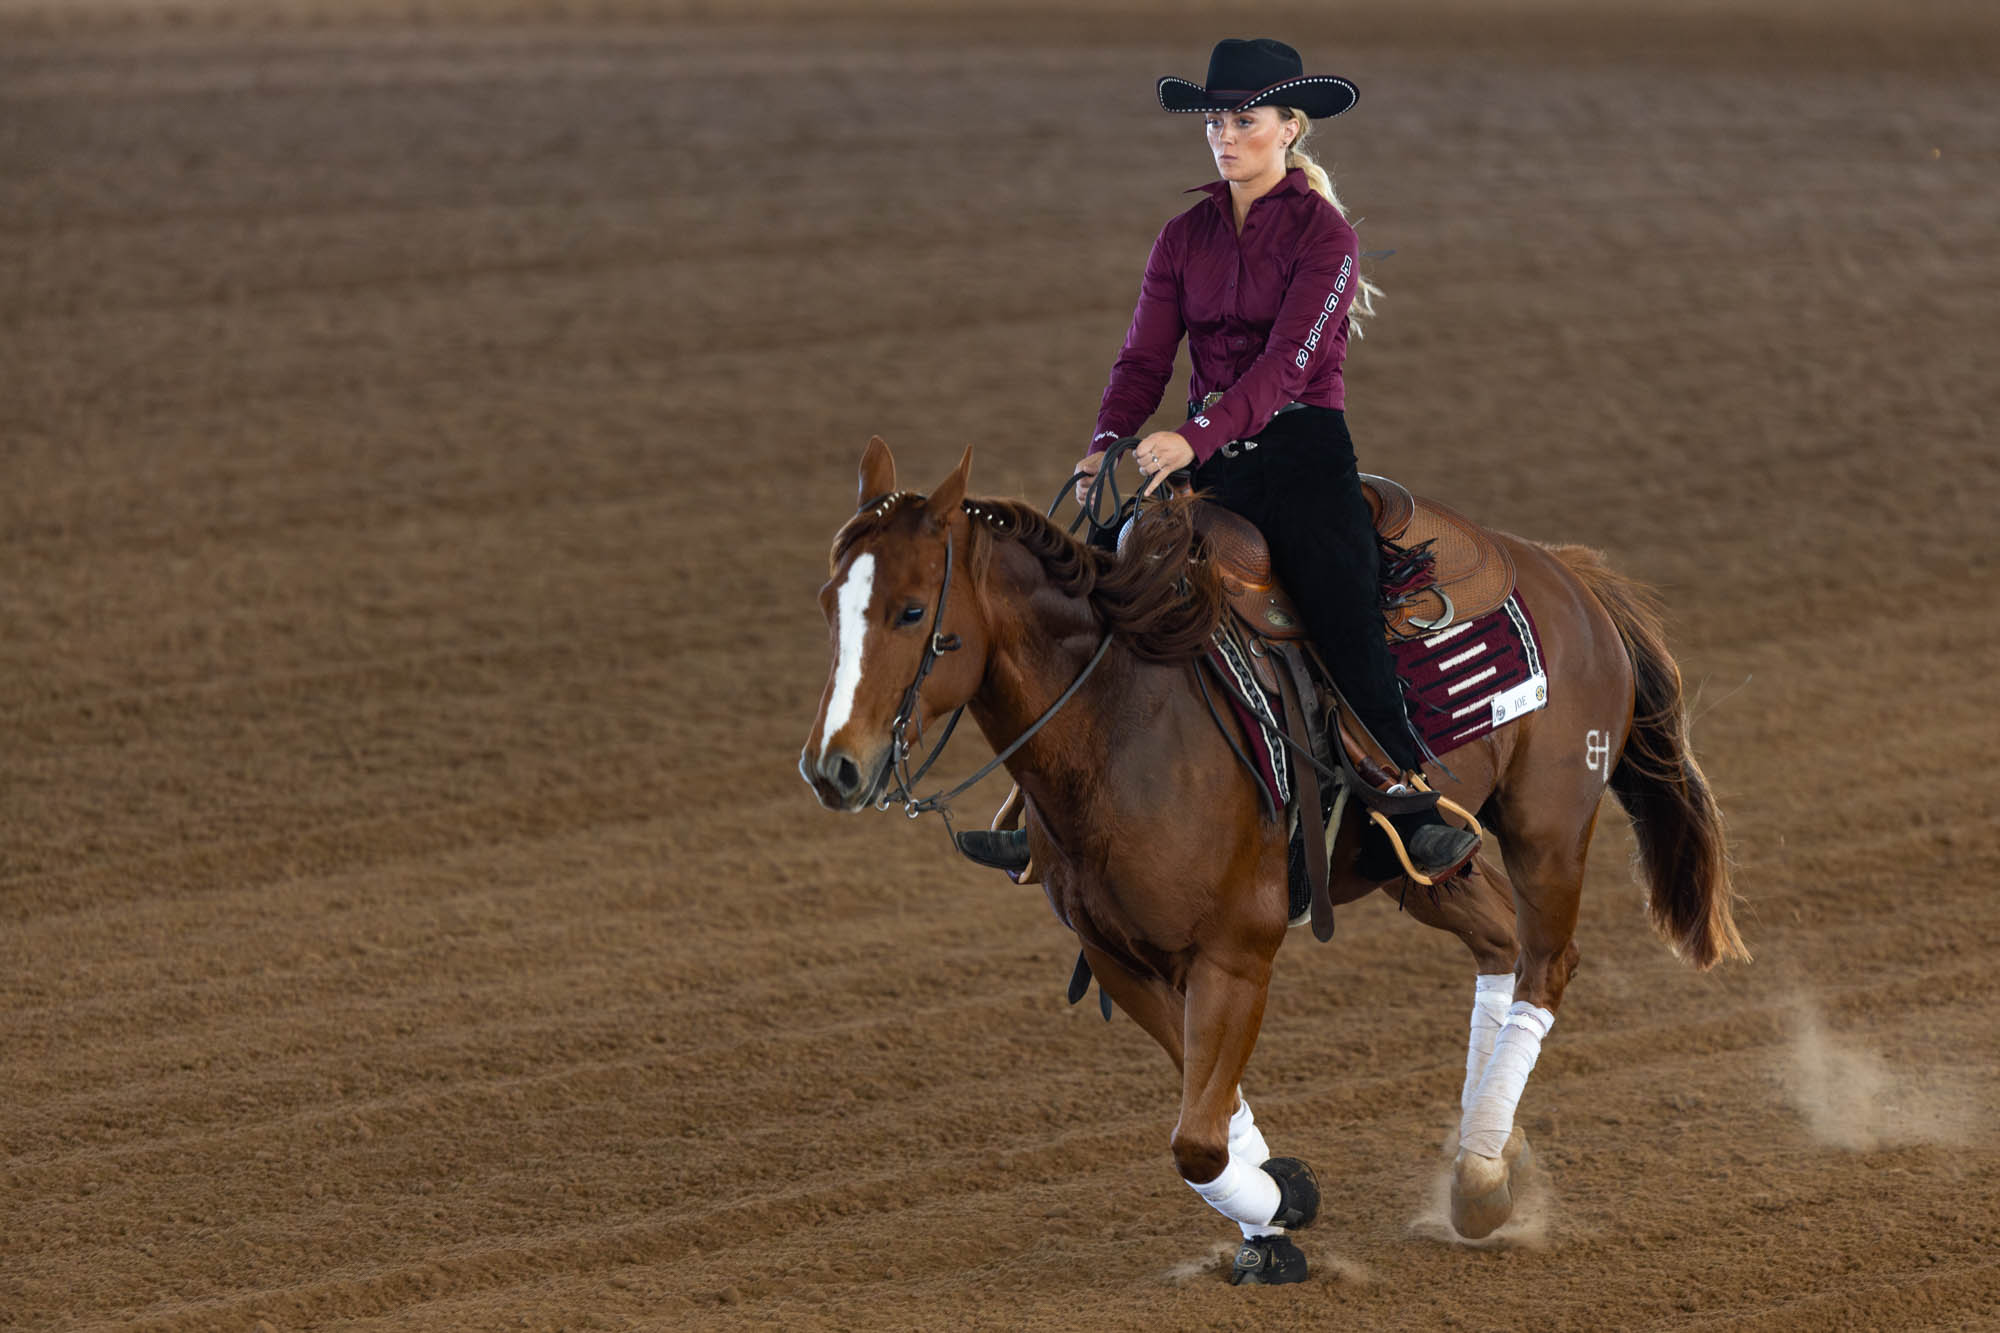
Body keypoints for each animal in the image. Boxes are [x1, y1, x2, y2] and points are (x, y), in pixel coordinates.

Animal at [796, 436, 1752, 1280]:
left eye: (913, 610)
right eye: (829, 603)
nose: (833, 767)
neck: (1124, 722)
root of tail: (1564, 571)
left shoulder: (1236, 952)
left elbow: (1195, 1138)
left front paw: (1282, 1203)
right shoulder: (1120, 958)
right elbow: (1210, 1107)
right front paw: (1276, 1212)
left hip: (1548, 829)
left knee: (1546, 966)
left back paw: (1481, 1179)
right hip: (1419, 867)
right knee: (1500, 948)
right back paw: (1492, 1145)